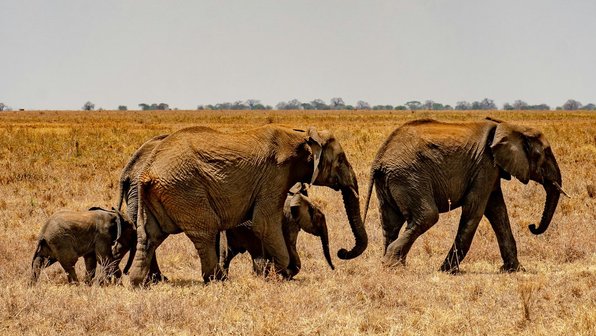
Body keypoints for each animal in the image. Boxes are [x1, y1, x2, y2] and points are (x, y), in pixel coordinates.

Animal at [128, 124, 366, 284]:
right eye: (341, 159)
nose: (342, 252)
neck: (301, 137)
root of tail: (147, 171)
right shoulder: (275, 174)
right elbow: (265, 224)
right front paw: (280, 273)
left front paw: (278, 272)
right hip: (184, 189)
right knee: (206, 231)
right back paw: (218, 279)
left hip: (157, 194)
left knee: (150, 235)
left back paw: (138, 282)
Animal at [360, 118, 564, 272]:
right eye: (546, 153)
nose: (532, 226)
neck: (509, 126)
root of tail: (379, 159)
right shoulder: (485, 165)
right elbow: (475, 210)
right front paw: (447, 271)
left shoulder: (491, 169)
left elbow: (497, 211)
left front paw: (514, 270)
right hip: (409, 176)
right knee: (427, 216)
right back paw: (392, 265)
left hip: (391, 179)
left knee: (391, 222)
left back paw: (391, 264)